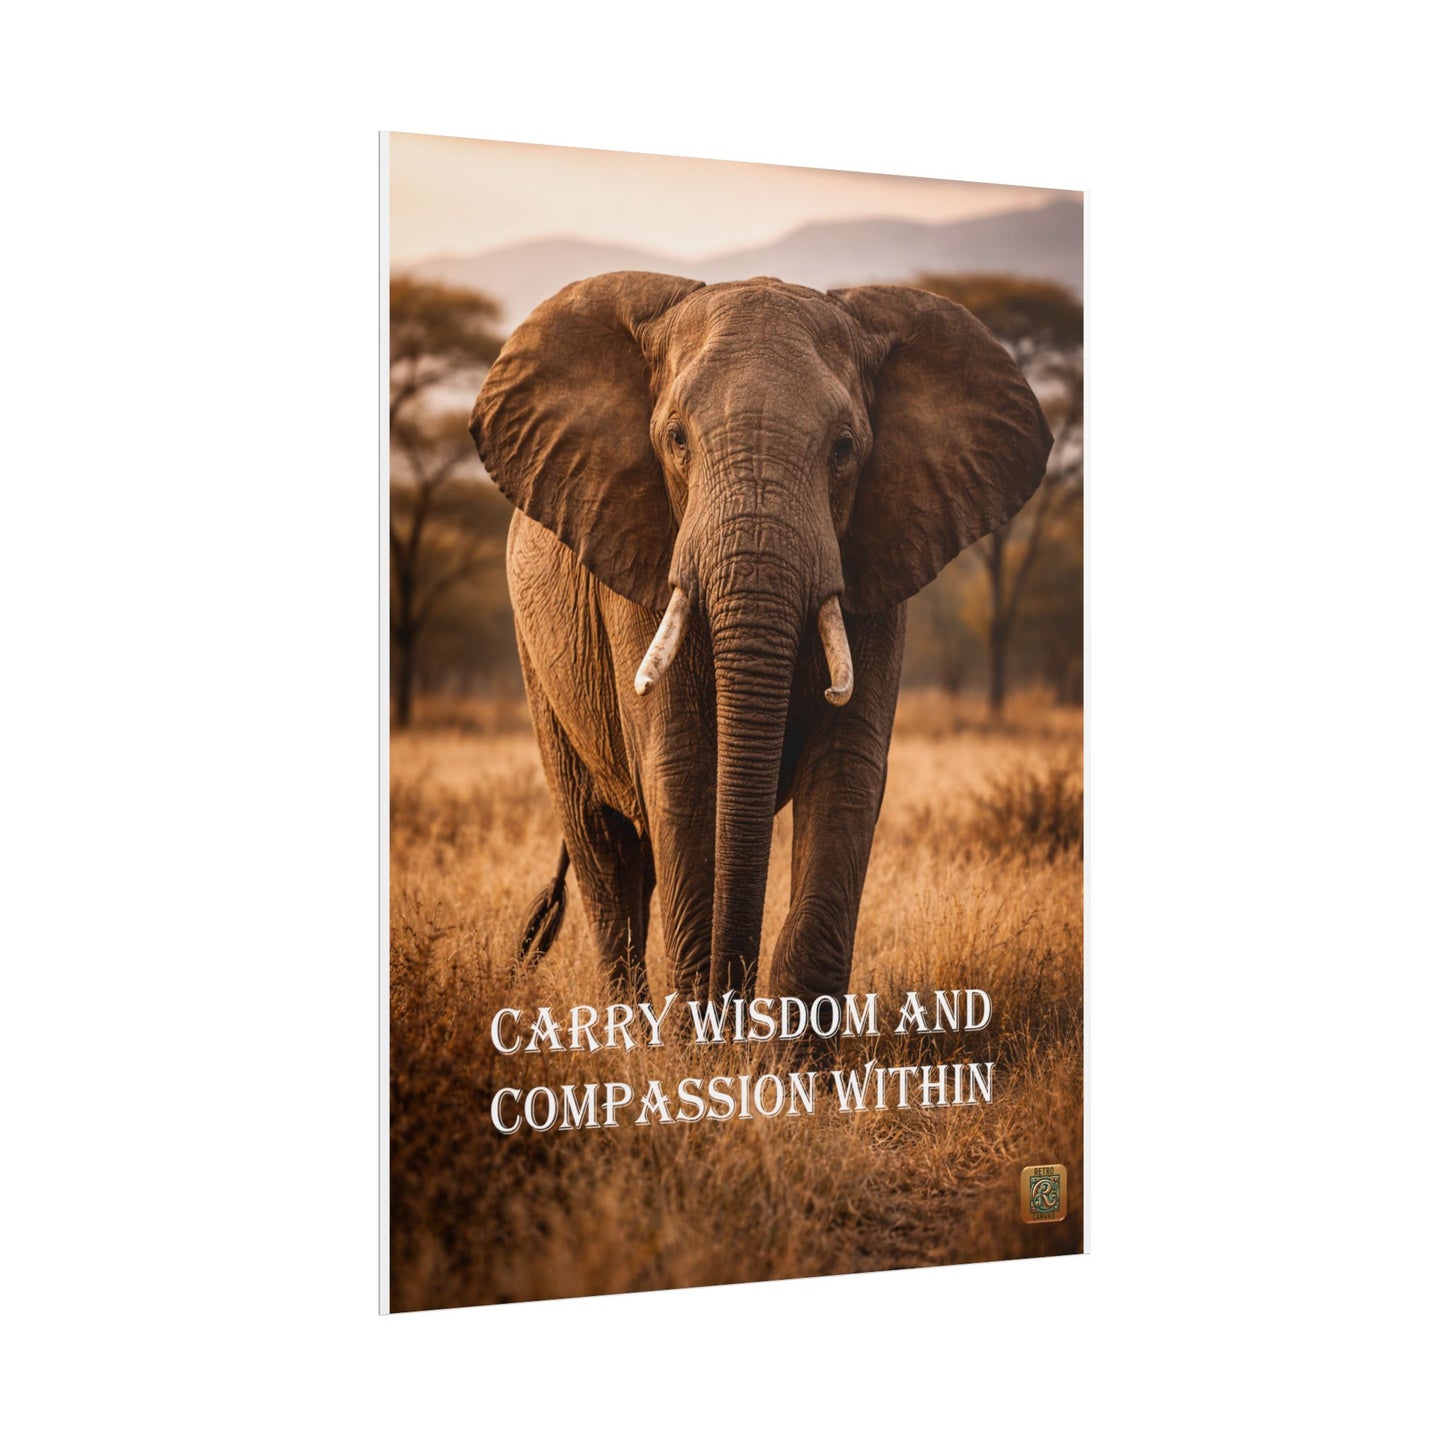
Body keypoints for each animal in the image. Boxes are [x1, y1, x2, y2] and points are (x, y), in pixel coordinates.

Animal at [469, 271, 1051, 1021]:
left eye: (844, 448)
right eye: (675, 438)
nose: (731, 1003)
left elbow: (847, 774)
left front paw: (790, 1049)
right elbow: (681, 770)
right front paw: (701, 1043)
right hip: (536, 657)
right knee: (604, 847)